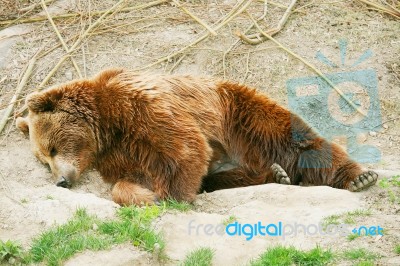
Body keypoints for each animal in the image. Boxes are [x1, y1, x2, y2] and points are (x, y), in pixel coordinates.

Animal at [16, 68, 378, 206]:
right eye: (43, 160)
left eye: (51, 148)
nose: (61, 181)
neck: (106, 128)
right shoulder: (120, 153)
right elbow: (128, 181)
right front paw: (145, 195)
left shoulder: (141, 108)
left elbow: (183, 145)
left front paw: (171, 196)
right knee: (226, 176)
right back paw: (276, 175)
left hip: (239, 115)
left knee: (297, 142)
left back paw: (359, 176)